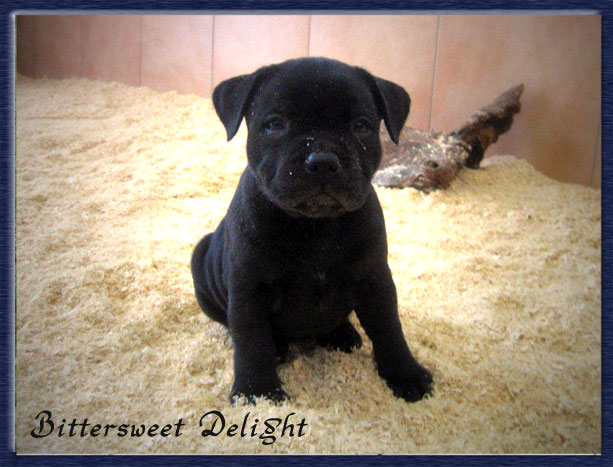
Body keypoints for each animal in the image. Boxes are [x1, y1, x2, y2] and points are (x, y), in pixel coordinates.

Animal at [191, 57, 433, 404]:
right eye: (275, 124)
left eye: (361, 126)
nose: (322, 161)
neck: (315, 226)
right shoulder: (249, 288)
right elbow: (252, 341)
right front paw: (257, 392)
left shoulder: (375, 279)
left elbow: (389, 327)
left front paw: (406, 373)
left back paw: (342, 334)